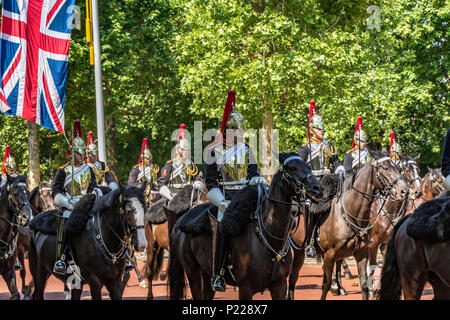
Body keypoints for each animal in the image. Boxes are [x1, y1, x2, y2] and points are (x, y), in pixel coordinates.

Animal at [169, 152, 324, 300]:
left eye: (308, 166)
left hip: (207, 276)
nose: (318, 188)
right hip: (193, 273)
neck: (269, 236)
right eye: (292, 168)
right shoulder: (245, 289)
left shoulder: (279, 286)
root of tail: (181, 221)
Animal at [288, 152, 408, 300]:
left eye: (397, 168)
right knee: (292, 276)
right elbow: (325, 286)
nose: (404, 190)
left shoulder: (362, 253)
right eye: (385, 167)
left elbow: (364, 284)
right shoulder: (330, 254)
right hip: (298, 250)